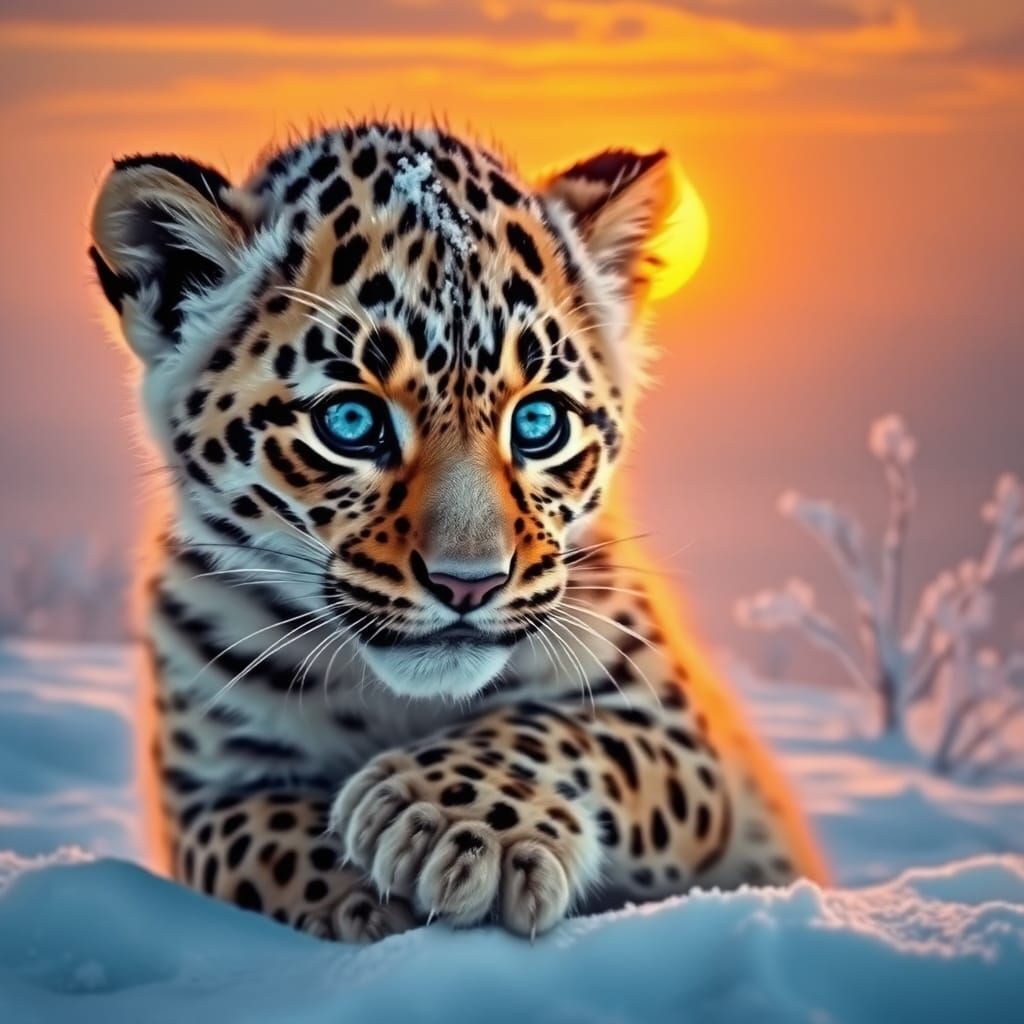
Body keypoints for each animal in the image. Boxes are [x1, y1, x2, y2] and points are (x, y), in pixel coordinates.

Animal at [88, 119, 827, 943]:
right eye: (351, 422)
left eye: (538, 423)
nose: (467, 585)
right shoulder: (207, 794)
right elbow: (267, 837)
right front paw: (378, 895)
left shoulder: (679, 740)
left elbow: (556, 727)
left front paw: (450, 825)